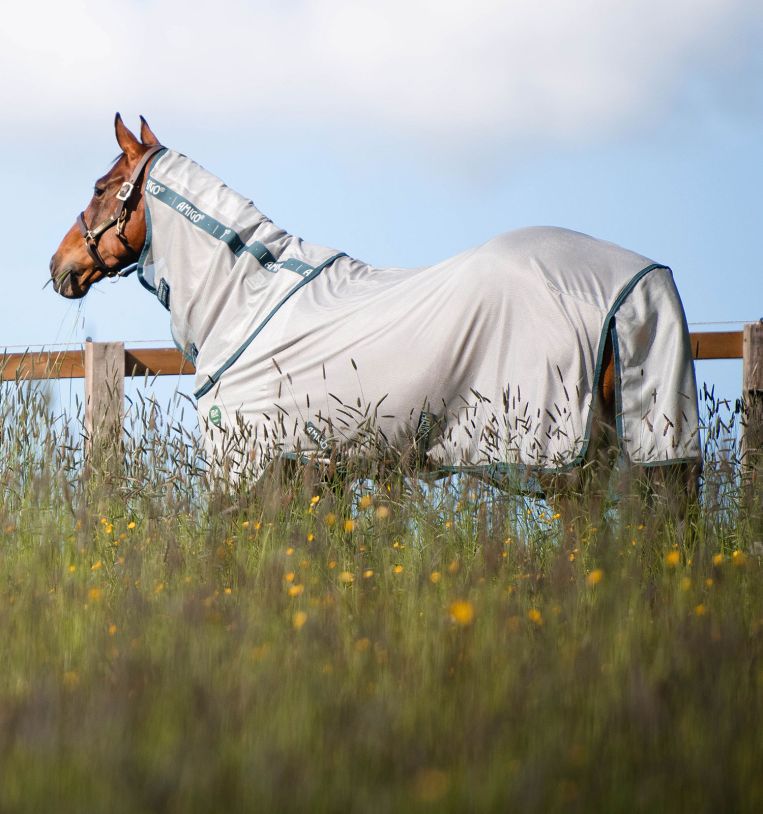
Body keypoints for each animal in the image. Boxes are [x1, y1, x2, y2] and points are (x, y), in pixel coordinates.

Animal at [50, 116, 700, 536]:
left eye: (102, 188)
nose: (60, 266)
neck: (243, 304)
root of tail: (636, 280)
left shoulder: (246, 471)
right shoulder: (316, 475)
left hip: (562, 467)